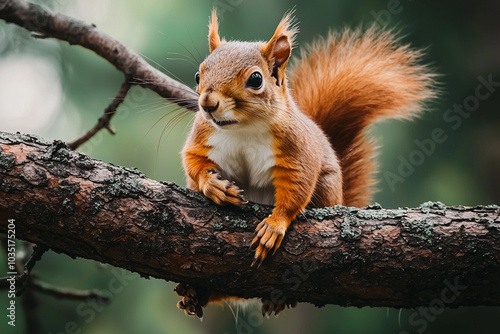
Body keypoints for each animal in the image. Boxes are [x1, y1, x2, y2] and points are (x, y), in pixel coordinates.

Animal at [175, 9, 434, 318]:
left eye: (255, 79)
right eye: (198, 73)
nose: (207, 104)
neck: (243, 129)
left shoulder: (297, 152)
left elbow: (296, 188)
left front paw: (275, 225)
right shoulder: (202, 137)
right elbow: (193, 162)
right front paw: (214, 186)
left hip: (326, 189)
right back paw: (195, 292)